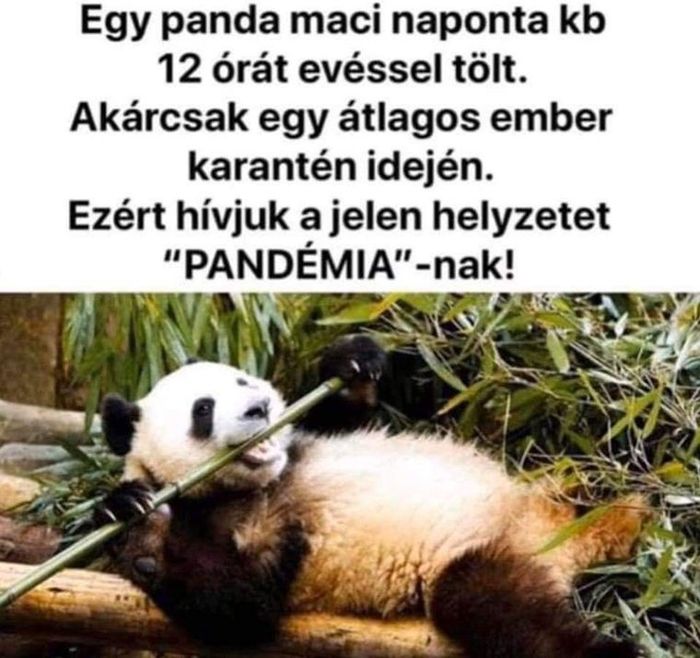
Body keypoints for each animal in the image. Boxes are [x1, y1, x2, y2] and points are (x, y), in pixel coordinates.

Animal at [95, 335, 647, 658]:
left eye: (242, 379)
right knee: (506, 612)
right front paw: (137, 518)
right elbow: (238, 609)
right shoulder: (228, 525)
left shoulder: (306, 439)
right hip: (492, 558)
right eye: (204, 409)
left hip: (563, 482)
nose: (257, 409)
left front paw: (354, 362)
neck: (267, 482)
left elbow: (353, 415)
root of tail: (566, 535)